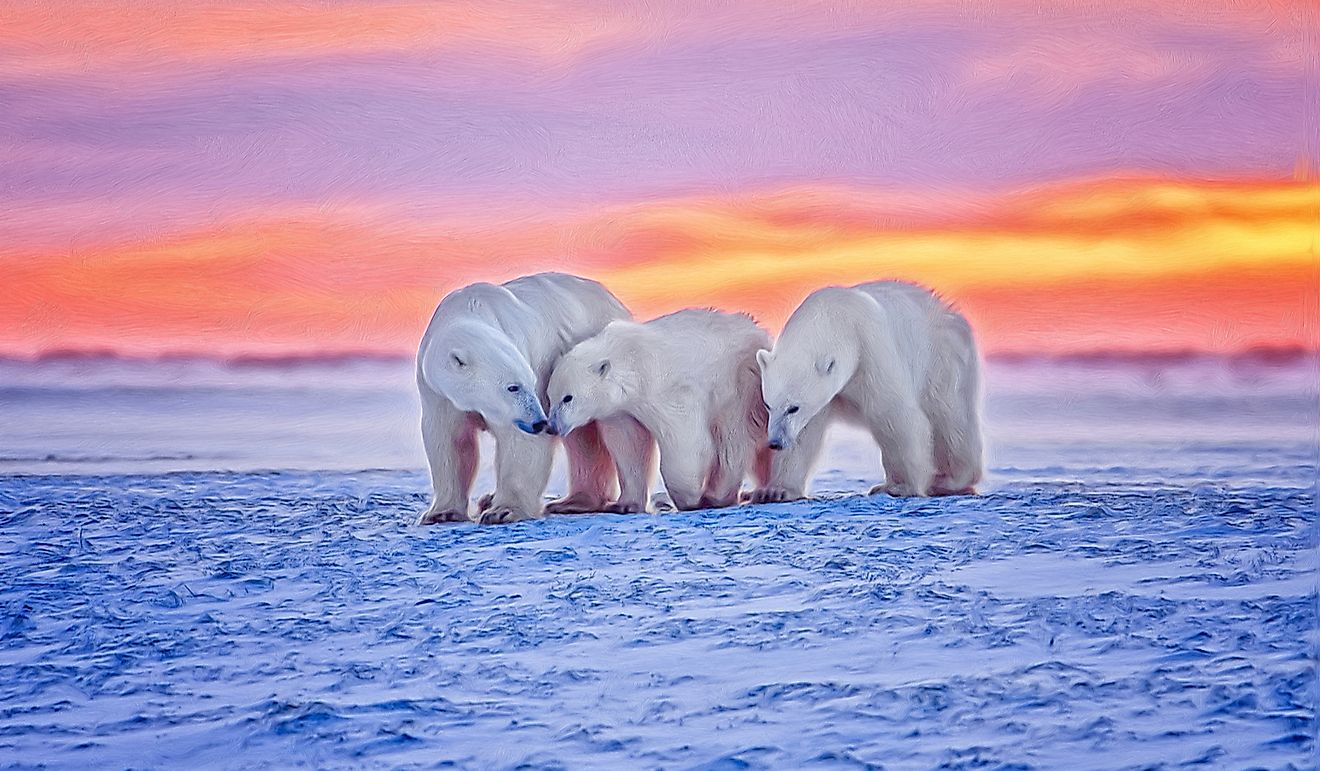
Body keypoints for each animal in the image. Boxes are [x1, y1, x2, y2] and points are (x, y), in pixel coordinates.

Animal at [414, 270, 652, 522]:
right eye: (513, 387)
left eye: (531, 382)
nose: (540, 423)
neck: (472, 306)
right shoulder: (436, 392)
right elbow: (450, 440)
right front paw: (441, 513)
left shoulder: (530, 360)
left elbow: (521, 443)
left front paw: (503, 511)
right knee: (583, 439)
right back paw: (572, 502)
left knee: (621, 432)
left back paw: (624, 502)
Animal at [543, 307, 770, 512]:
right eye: (550, 397)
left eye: (568, 398)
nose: (552, 427)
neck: (630, 361)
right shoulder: (620, 410)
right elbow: (628, 446)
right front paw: (624, 505)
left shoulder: (665, 390)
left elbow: (684, 440)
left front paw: (688, 498)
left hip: (738, 383)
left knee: (732, 438)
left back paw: (716, 496)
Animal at [755, 281, 982, 499]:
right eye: (767, 405)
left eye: (793, 408)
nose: (775, 442)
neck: (837, 318)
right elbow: (804, 433)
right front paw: (776, 491)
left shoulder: (869, 351)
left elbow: (893, 415)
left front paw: (898, 486)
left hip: (942, 360)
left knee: (951, 419)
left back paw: (951, 480)